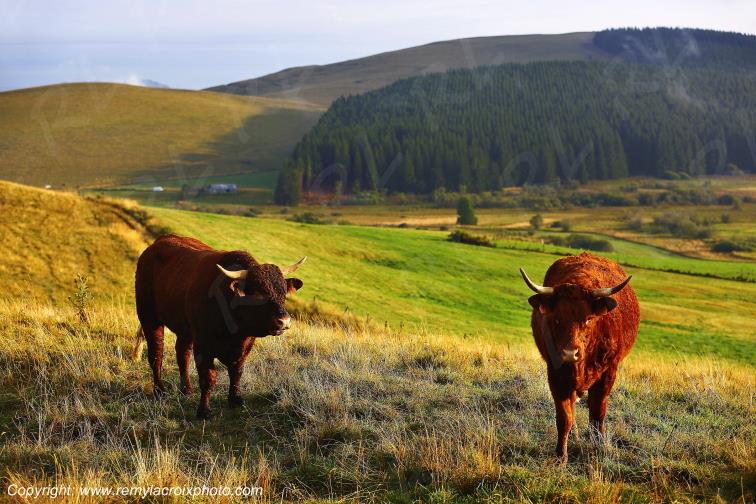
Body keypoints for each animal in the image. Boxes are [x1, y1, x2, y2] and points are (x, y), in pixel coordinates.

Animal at [133, 234, 305, 419]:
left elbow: (237, 371)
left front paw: (235, 399)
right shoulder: (203, 345)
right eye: (258, 294)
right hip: (149, 317)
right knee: (156, 354)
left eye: (283, 293)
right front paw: (204, 411)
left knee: (182, 354)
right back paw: (160, 391)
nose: (284, 321)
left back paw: (186, 389)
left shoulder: (245, 344)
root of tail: (159, 242)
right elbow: (208, 378)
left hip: (185, 328)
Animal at [519, 252, 639, 463]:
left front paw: (597, 446)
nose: (569, 354)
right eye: (556, 319)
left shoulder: (608, 373)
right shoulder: (555, 374)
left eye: (588, 319)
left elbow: (598, 413)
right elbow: (564, 417)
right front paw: (561, 455)